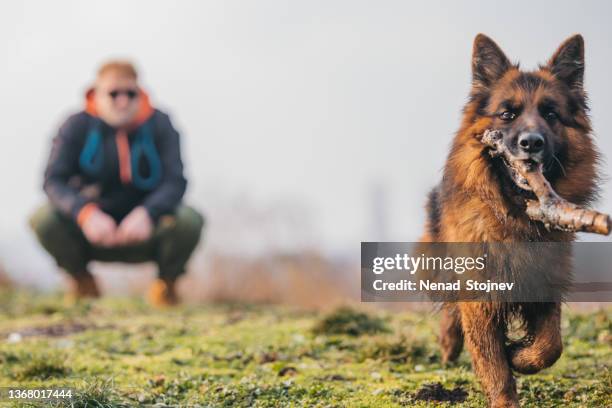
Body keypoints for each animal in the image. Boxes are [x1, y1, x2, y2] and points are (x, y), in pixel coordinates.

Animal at [420, 35, 596, 408]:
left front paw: (520, 354)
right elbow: (494, 367)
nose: (531, 143)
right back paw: (449, 343)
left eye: (550, 113)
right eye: (507, 114)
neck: (516, 217)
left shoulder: (547, 281)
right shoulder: (480, 296)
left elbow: (550, 345)